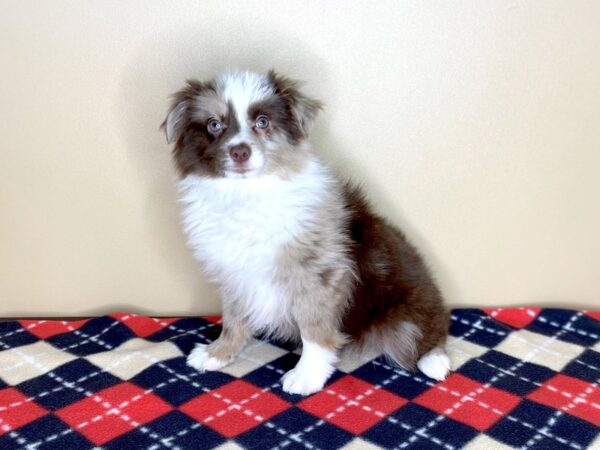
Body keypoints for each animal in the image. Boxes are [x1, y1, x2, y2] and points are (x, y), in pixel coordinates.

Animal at [162, 69, 452, 394]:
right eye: (214, 124)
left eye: (263, 122)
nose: (240, 152)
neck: (246, 192)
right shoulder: (232, 273)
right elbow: (233, 318)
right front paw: (219, 353)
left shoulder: (318, 274)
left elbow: (313, 329)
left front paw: (307, 375)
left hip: (407, 312)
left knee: (427, 330)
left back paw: (435, 360)